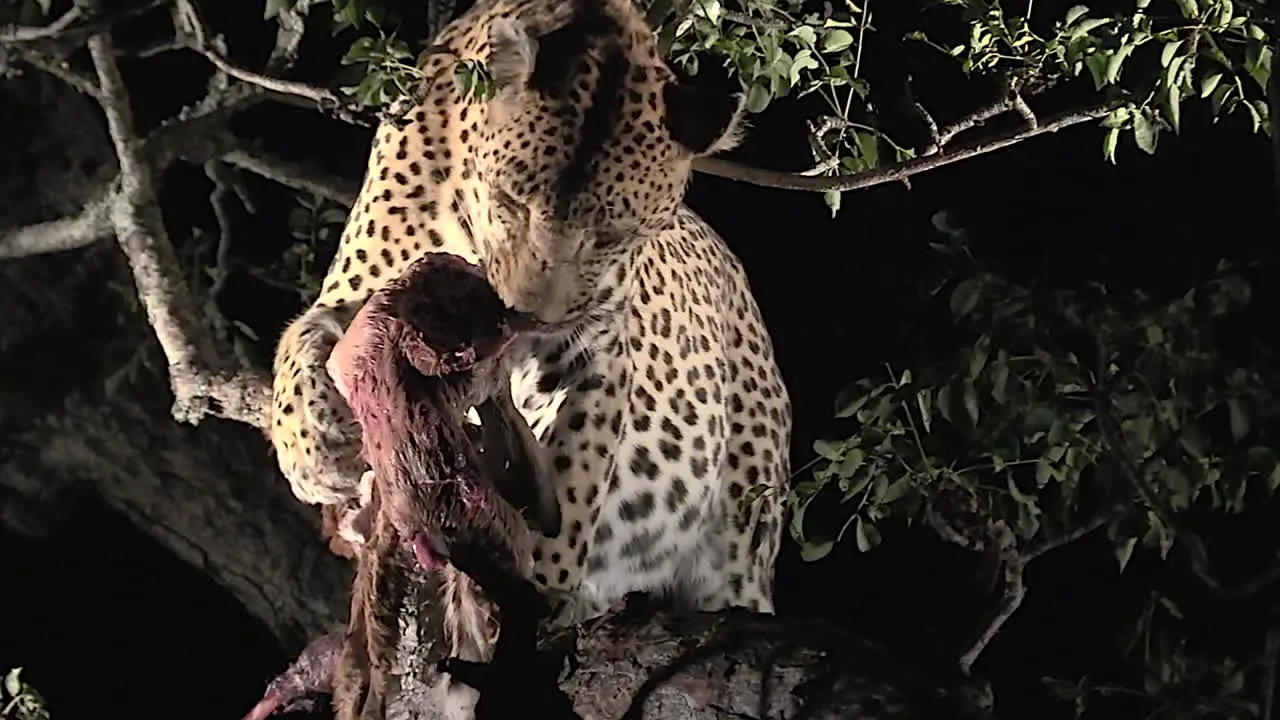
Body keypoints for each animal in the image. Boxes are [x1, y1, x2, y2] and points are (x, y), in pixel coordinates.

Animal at [270, 0, 788, 640]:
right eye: (511, 201)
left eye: (611, 235)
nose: (526, 316)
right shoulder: (361, 286)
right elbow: (305, 337)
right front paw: (314, 446)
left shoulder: (592, 351)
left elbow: (573, 463)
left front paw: (542, 576)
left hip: (741, 537)